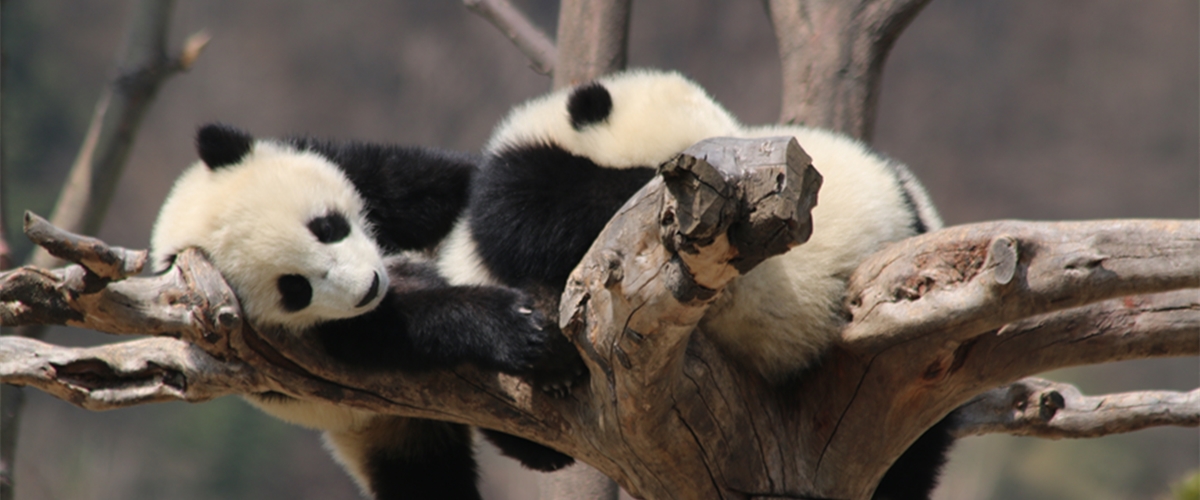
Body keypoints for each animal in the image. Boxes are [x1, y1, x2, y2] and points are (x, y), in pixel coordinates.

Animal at [151, 122, 571, 498]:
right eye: (295, 289)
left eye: (325, 227)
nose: (368, 287)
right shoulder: (291, 346)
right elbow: (387, 334)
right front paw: (511, 325)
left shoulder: (355, 170)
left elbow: (446, 183)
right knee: (428, 475)